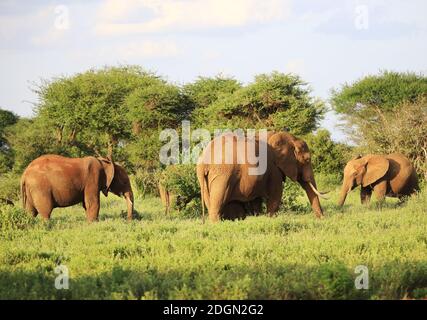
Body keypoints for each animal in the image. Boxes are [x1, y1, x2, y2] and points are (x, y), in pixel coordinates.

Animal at [197, 131, 328, 222]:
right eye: (307, 160)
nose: (322, 219)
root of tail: (204, 161)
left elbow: (257, 199)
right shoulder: (273, 168)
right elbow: (276, 194)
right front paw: (271, 219)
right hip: (223, 174)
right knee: (218, 201)